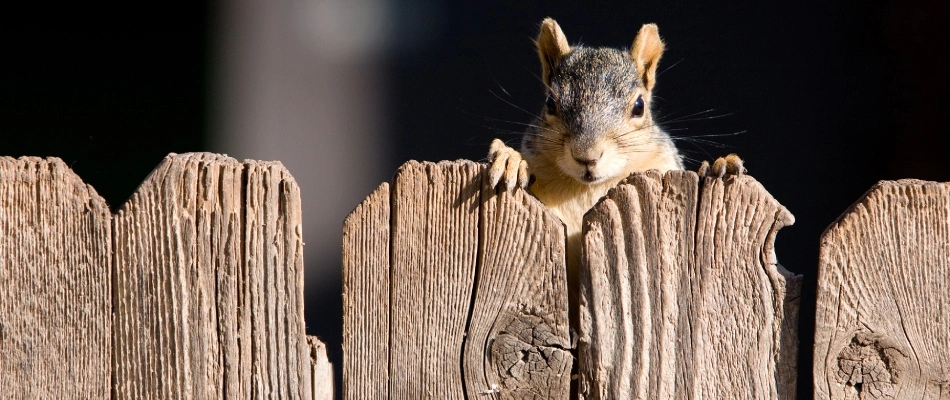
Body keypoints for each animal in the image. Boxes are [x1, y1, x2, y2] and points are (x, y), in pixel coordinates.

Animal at [488, 18, 743, 314]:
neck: (589, 189)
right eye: (550, 103)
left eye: (639, 106)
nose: (587, 156)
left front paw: (719, 165)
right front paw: (509, 159)